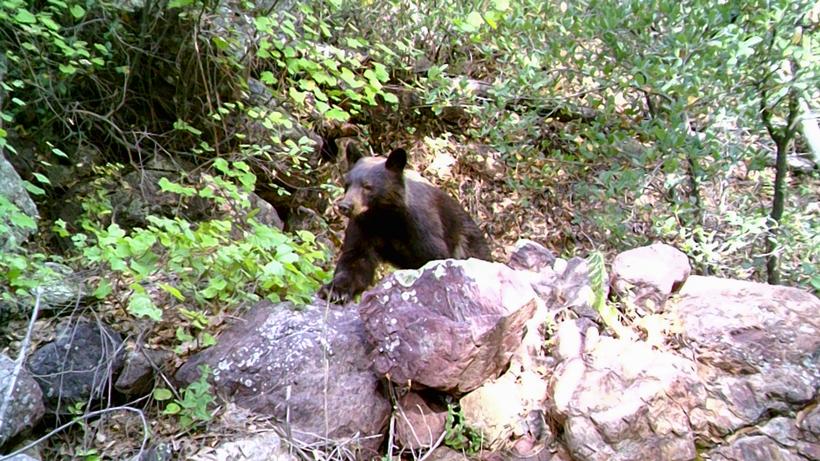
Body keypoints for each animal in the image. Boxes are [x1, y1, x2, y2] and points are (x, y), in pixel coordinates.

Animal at [318, 145, 492, 303]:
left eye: (367, 186)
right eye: (347, 184)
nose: (344, 206)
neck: (384, 216)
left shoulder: (421, 226)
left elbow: (435, 257)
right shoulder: (363, 226)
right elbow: (355, 260)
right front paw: (334, 291)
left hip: (469, 245)